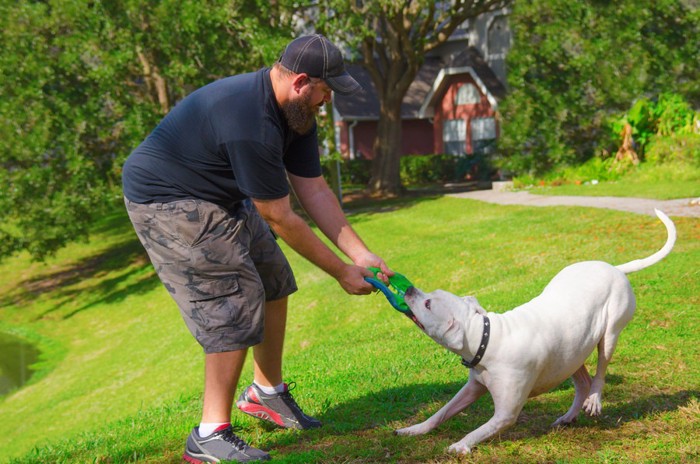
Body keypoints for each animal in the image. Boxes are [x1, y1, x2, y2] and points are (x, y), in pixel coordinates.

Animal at [396, 209, 676, 454]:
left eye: (428, 304)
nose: (408, 289)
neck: (486, 339)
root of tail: (616, 268)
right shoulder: (472, 388)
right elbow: (441, 412)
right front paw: (415, 429)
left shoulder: (505, 414)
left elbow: (478, 431)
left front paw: (459, 446)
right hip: (571, 353)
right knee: (582, 383)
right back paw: (569, 416)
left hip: (609, 335)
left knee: (600, 371)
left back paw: (595, 399)